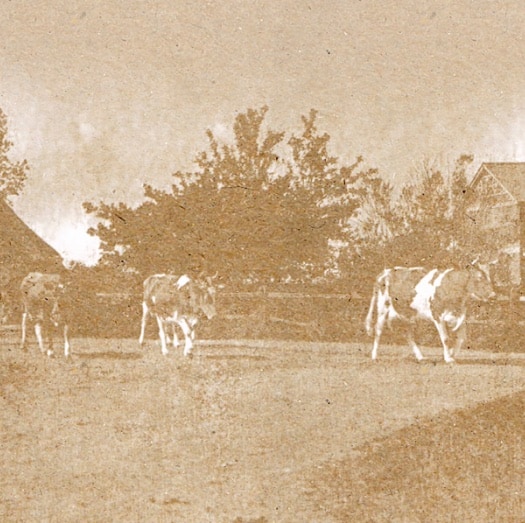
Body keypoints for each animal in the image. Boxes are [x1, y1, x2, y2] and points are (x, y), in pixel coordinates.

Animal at [364, 264, 496, 362]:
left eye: (489, 277)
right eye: (479, 278)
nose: (493, 295)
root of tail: (384, 272)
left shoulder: (458, 316)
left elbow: (461, 338)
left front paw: (452, 354)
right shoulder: (437, 315)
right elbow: (445, 338)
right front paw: (448, 358)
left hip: (407, 314)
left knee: (408, 335)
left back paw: (420, 357)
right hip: (382, 307)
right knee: (378, 330)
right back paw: (374, 356)